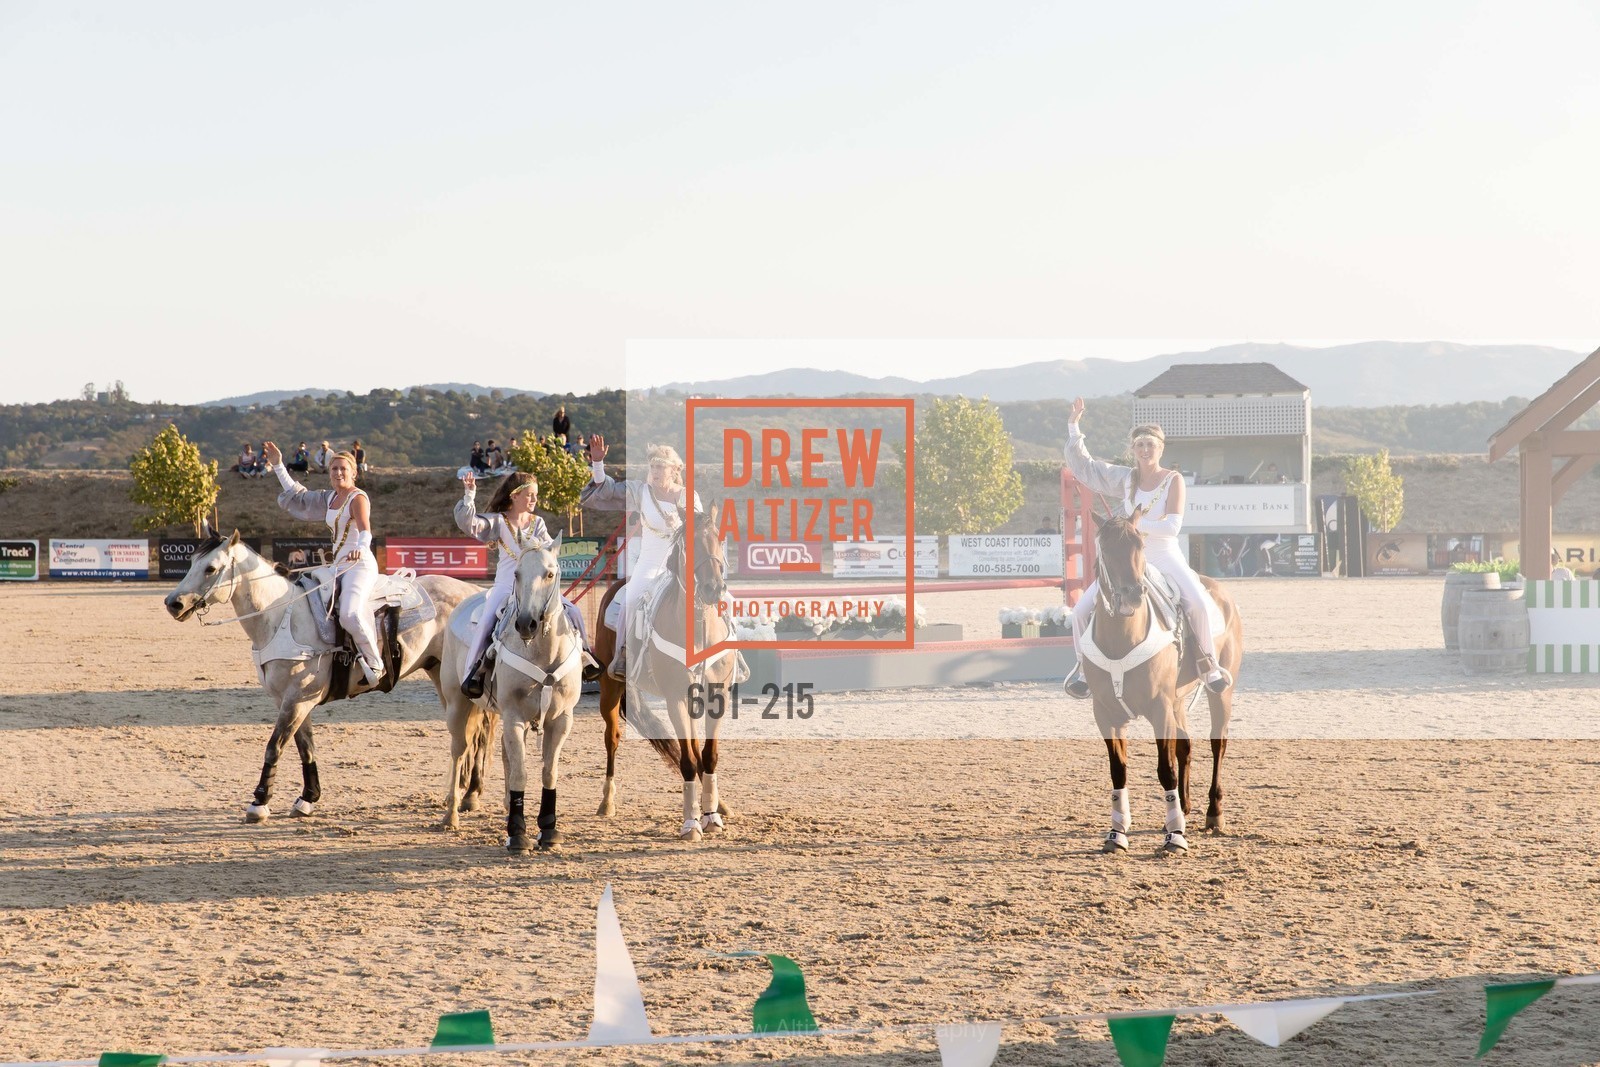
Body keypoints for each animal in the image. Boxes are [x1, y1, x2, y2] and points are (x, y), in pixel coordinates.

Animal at [168, 531, 483, 825]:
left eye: (210, 568)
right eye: (191, 561)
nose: (173, 603)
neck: (282, 619)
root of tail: (474, 590)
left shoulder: (297, 700)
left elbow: (274, 747)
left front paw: (259, 803)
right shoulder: (290, 701)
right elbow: (305, 748)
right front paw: (308, 798)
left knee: (477, 735)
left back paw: (468, 795)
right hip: (440, 675)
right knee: (474, 734)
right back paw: (466, 793)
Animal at [438, 537, 588, 857]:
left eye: (550, 574)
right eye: (517, 574)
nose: (526, 624)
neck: (543, 653)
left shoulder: (561, 720)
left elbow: (548, 772)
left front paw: (548, 830)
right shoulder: (514, 717)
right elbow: (520, 773)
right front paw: (518, 834)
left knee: (505, 755)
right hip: (457, 707)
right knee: (459, 752)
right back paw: (451, 814)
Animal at [595, 511, 736, 844]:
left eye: (719, 539)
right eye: (690, 545)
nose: (713, 588)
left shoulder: (716, 695)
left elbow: (708, 755)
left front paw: (711, 816)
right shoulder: (674, 699)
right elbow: (687, 760)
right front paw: (691, 823)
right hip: (610, 687)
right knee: (612, 737)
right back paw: (607, 801)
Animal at [1081, 511, 1241, 857]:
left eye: (1140, 544)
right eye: (1106, 547)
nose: (1132, 593)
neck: (1122, 638)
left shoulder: (1159, 709)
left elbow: (1165, 769)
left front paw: (1175, 836)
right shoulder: (1106, 713)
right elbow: (1119, 770)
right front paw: (1117, 833)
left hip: (1219, 693)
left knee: (1217, 743)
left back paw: (1213, 814)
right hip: (1177, 702)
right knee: (1186, 746)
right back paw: (1185, 806)